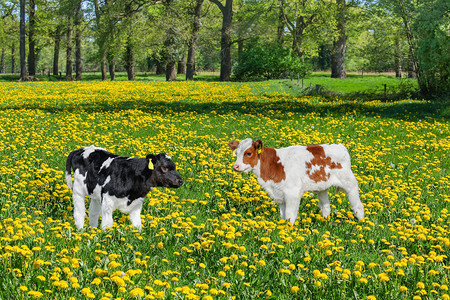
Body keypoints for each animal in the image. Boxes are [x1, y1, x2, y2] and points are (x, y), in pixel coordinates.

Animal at [230, 138, 364, 225]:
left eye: (248, 153)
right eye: (236, 153)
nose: (235, 166)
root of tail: (339, 146)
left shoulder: (292, 193)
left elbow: (290, 215)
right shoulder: (280, 194)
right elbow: (283, 216)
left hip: (349, 183)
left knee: (358, 205)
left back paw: (361, 223)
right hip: (322, 187)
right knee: (326, 206)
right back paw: (325, 222)